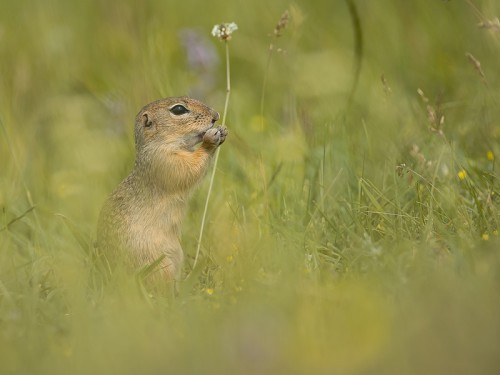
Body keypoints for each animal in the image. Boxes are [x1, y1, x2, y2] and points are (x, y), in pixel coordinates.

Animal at [96, 97, 229, 282]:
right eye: (179, 110)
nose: (216, 116)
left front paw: (223, 131)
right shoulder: (166, 161)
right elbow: (189, 168)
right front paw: (211, 139)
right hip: (158, 265)